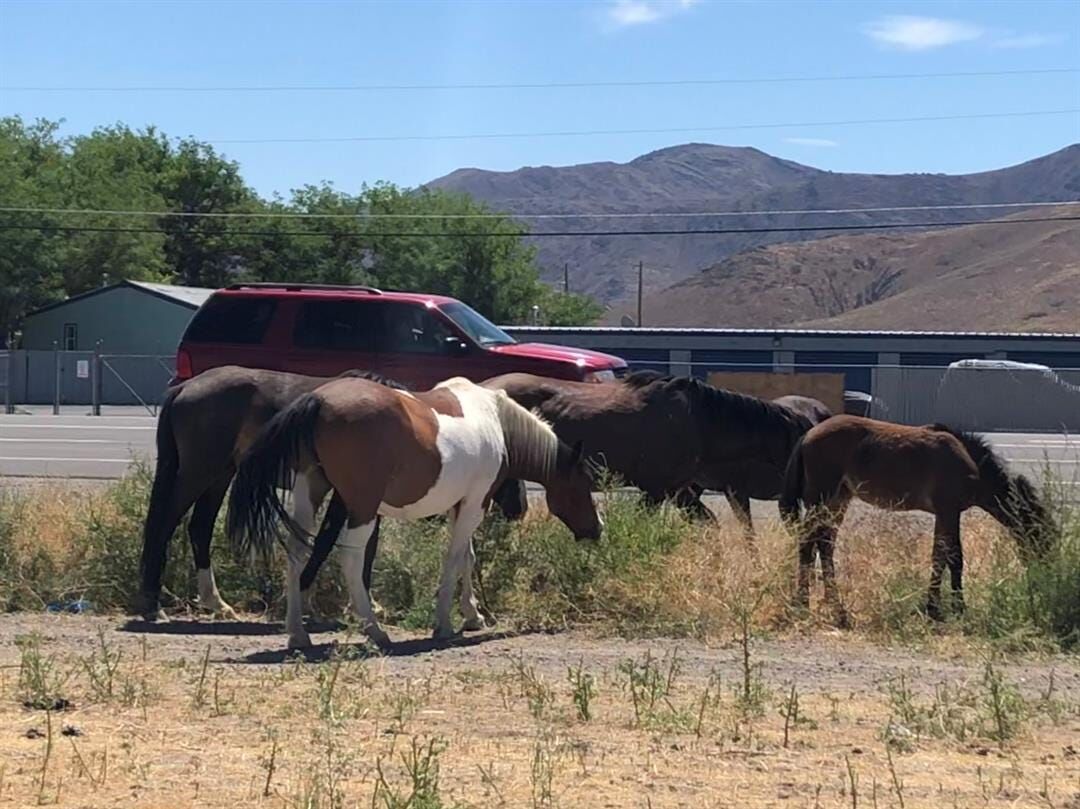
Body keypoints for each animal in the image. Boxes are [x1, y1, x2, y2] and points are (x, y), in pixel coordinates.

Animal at [226, 375, 600, 648]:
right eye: (583, 484)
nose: (596, 529)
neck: (493, 420)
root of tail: (318, 401)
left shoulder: (461, 505)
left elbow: (467, 557)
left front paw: (472, 615)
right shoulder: (475, 504)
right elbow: (454, 558)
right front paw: (445, 623)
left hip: (309, 495)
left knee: (297, 553)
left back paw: (297, 634)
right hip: (362, 508)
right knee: (351, 558)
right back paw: (374, 630)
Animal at [781, 416, 1049, 626]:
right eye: (1040, 535)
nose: (1042, 570)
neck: (970, 462)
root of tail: (807, 435)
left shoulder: (943, 514)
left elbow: (940, 556)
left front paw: (933, 607)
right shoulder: (949, 511)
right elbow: (953, 558)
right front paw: (955, 608)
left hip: (838, 501)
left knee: (825, 544)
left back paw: (835, 605)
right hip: (820, 500)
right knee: (808, 542)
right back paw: (802, 604)